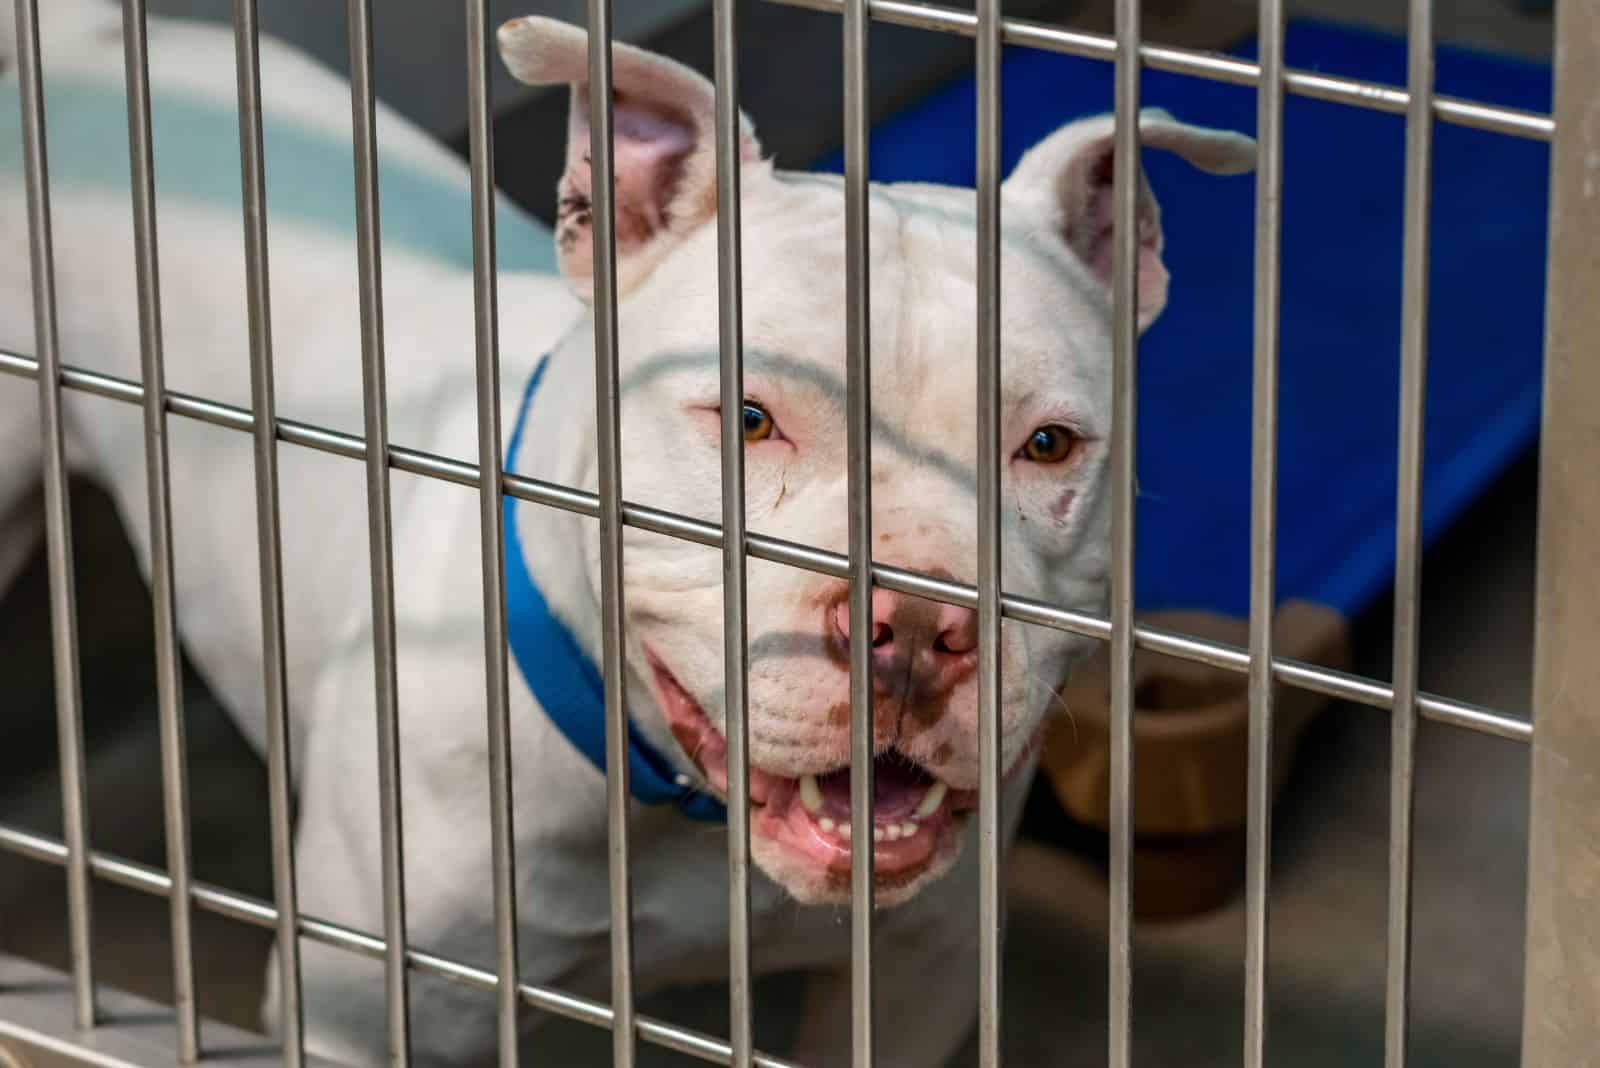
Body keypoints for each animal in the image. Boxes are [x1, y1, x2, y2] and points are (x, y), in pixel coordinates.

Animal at [0, 4, 1248, 1061]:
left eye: (1048, 445)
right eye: (747, 418)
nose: (914, 628)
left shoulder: (912, 981)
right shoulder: (370, 1010)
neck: (685, 815)